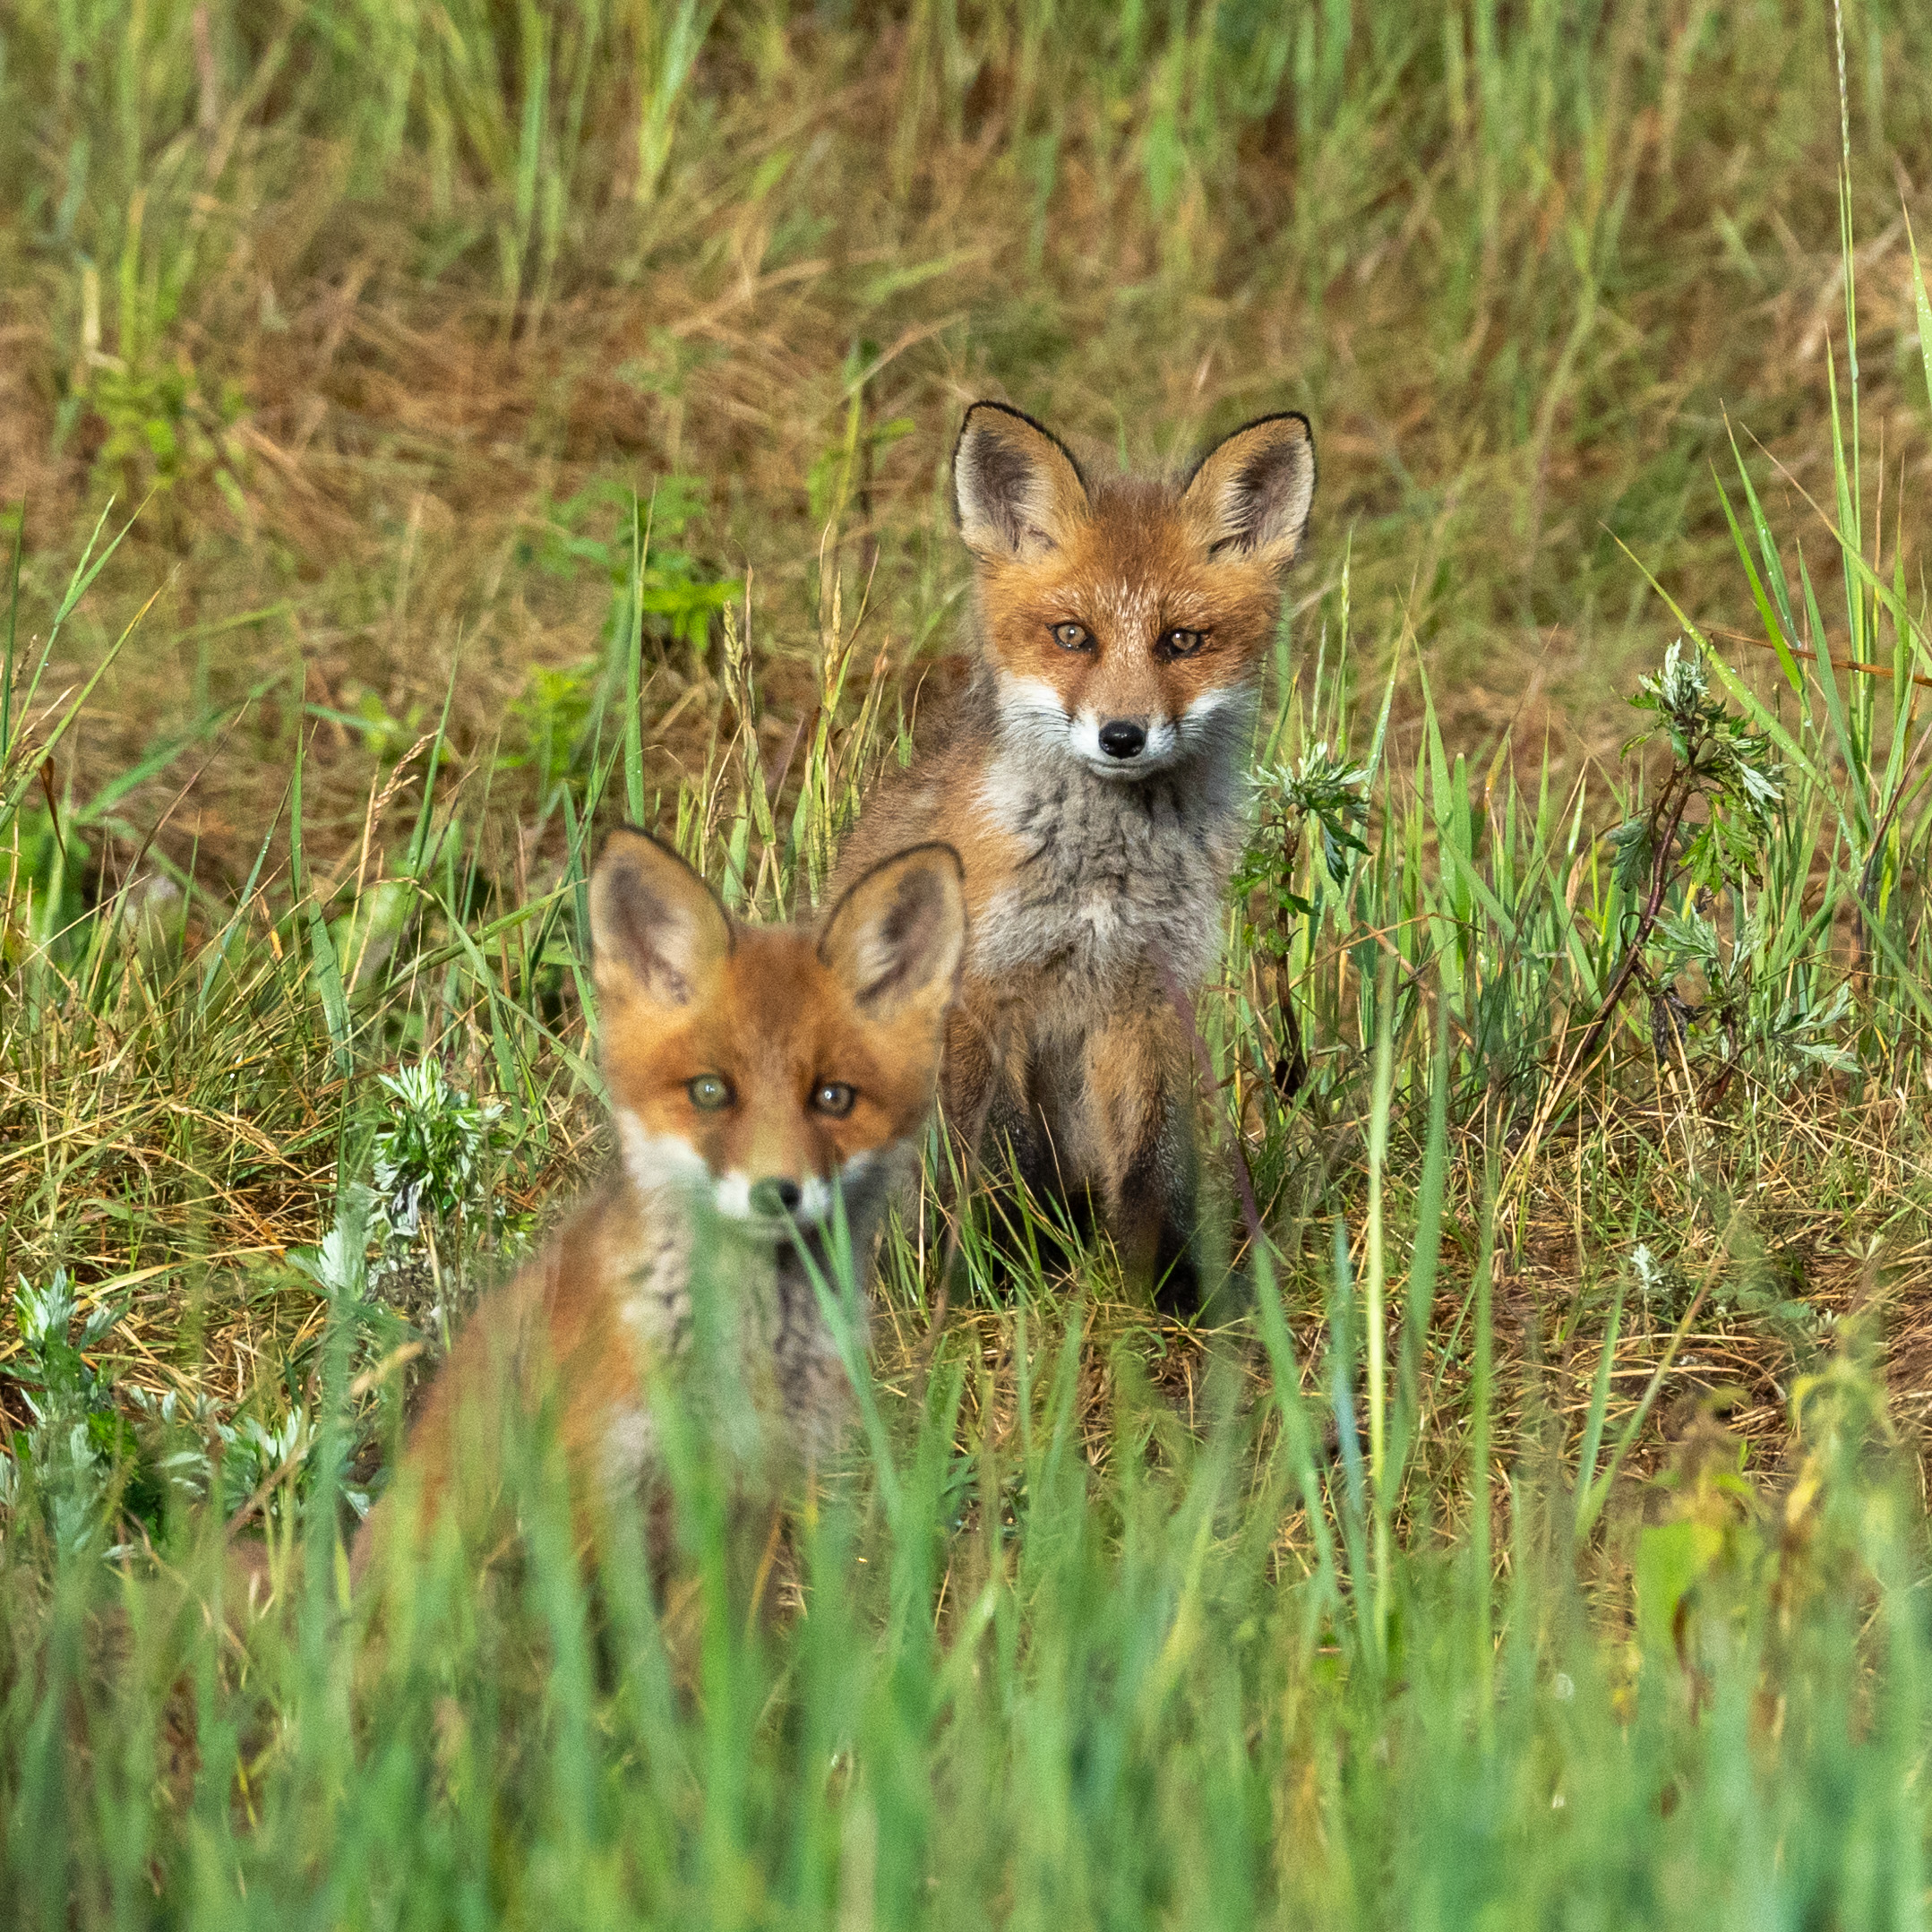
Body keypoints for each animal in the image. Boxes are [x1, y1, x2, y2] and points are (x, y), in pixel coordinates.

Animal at [830, 405, 1313, 1313]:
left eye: (1181, 640)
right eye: (1071, 636)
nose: (1121, 735)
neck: (1103, 876)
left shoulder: (1146, 997)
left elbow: (1150, 1169)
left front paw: (1161, 1293)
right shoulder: (983, 996)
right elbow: (998, 1161)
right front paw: (1005, 1272)